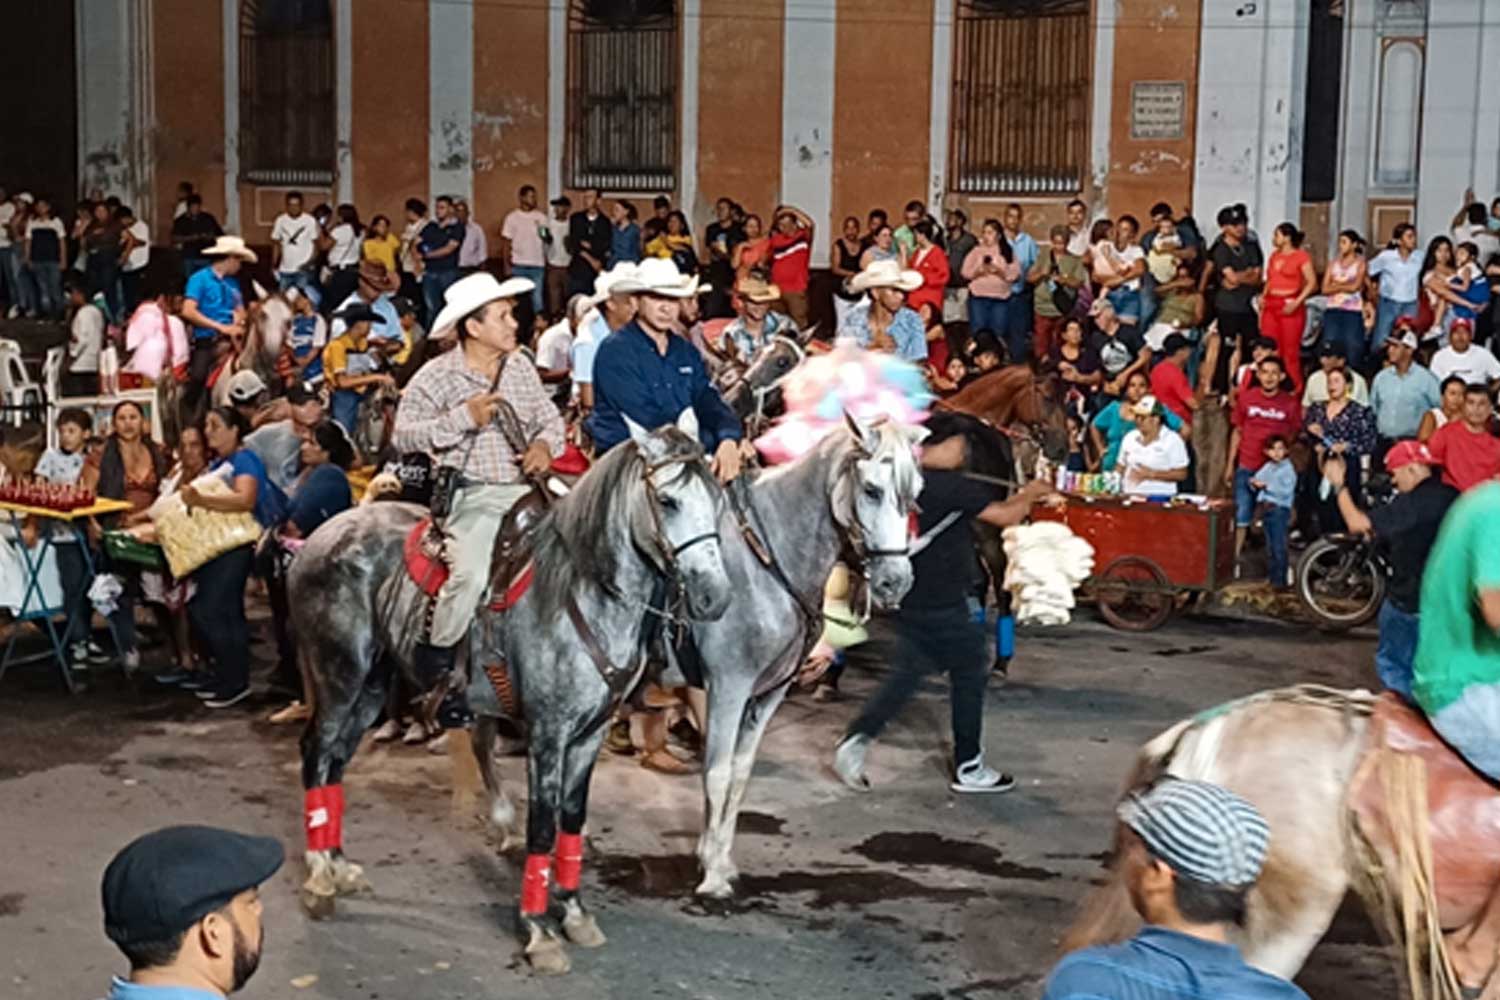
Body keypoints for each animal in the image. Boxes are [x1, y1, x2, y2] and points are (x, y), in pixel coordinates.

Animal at [283, 413, 729, 971]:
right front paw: (538, 931)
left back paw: (339, 864)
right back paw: (319, 876)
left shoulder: (589, 734)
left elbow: (571, 819)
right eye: (667, 501)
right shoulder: (547, 732)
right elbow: (541, 825)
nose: (715, 597)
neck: (581, 592)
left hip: (371, 685)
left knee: (337, 760)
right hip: (339, 673)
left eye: (716, 496)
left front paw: (574, 912)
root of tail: (320, 538)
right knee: (316, 752)